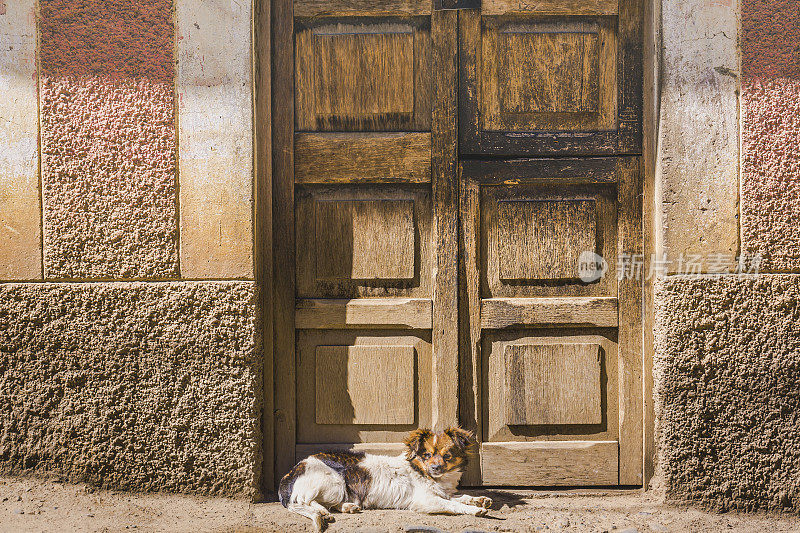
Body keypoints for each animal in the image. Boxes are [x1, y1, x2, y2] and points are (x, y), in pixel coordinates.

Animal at [278, 426, 490, 528]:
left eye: (447, 456)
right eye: (427, 455)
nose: (436, 467)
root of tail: (290, 474)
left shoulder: (441, 492)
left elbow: (460, 496)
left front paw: (479, 499)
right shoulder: (425, 501)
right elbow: (453, 504)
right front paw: (474, 510)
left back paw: (347, 507)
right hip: (334, 482)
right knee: (307, 502)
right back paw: (323, 511)